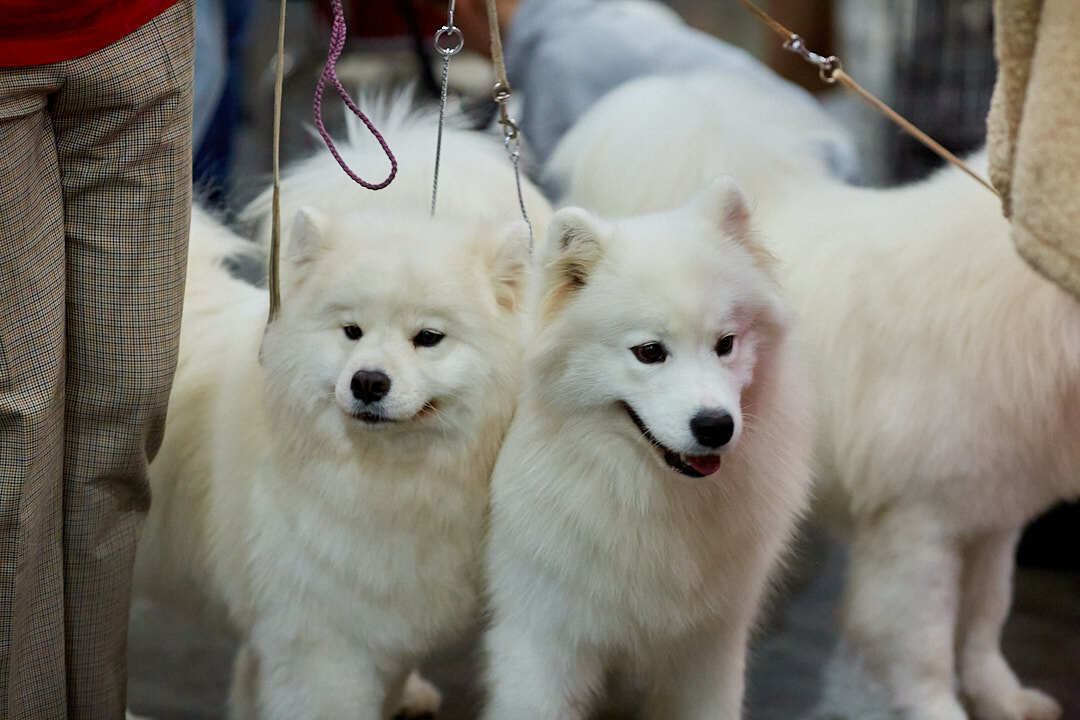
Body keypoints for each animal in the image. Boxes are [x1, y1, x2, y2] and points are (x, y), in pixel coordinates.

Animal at [548, 69, 1080, 720]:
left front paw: (1002, 697)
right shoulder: (919, 527)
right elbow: (925, 648)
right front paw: (941, 709)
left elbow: (985, 619)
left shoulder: (992, 512)